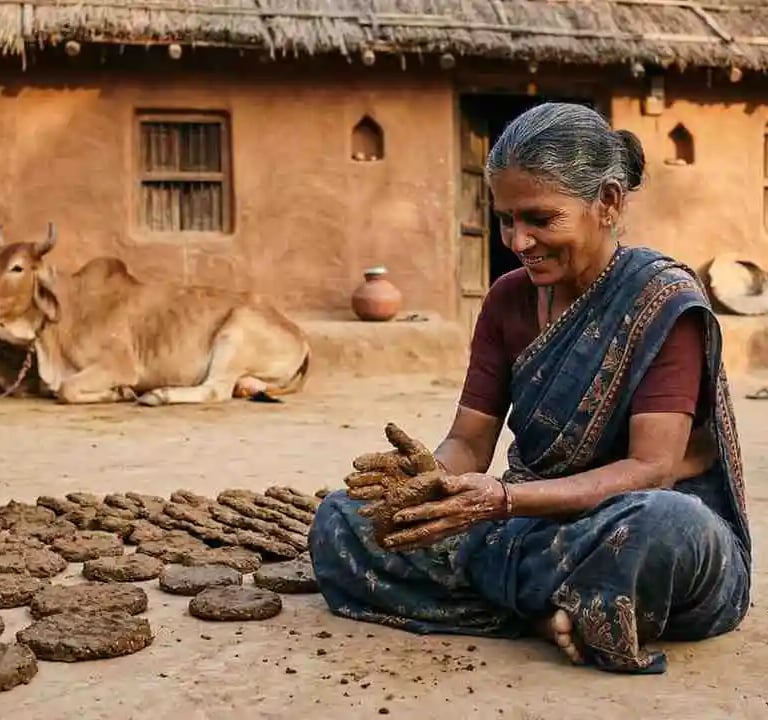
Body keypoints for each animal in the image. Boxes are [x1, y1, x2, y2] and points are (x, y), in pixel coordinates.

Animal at [0, 223, 310, 405]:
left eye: (17, 267)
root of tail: (301, 337)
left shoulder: (120, 365)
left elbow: (66, 389)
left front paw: (121, 392)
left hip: (234, 334)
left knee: (216, 390)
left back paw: (159, 395)